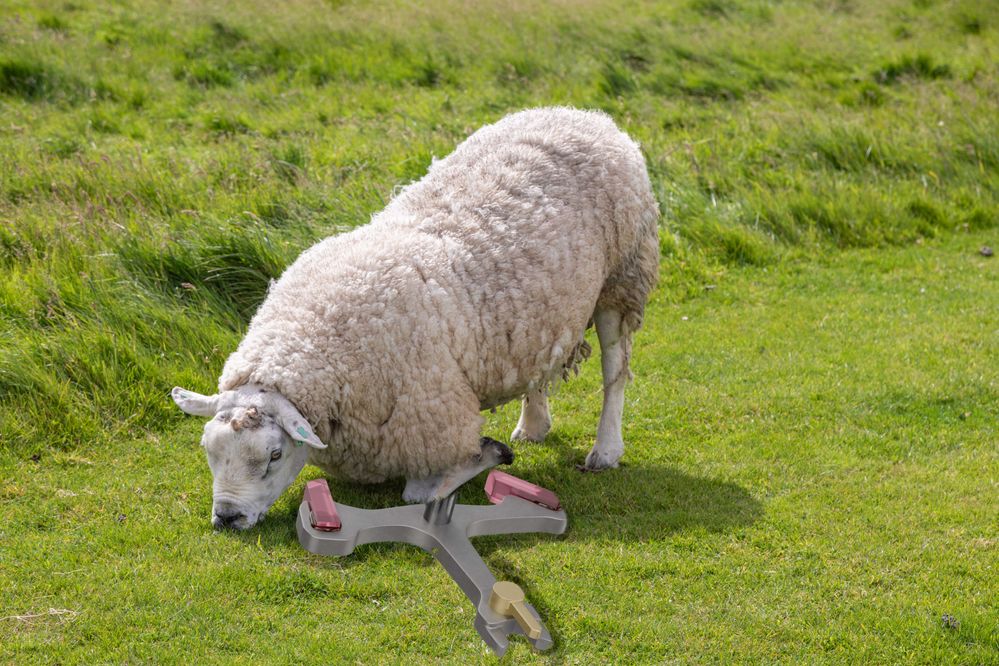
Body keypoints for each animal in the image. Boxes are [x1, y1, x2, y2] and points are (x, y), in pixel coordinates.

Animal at [172, 106, 660, 528]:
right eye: (209, 451)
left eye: (274, 455)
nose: (227, 517)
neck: (318, 340)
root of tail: (582, 115)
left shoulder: (433, 416)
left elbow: (418, 493)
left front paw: (487, 454)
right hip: (539, 311)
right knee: (539, 363)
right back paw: (533, 425)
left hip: (622, 279)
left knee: (615, 369)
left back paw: (605, 450)